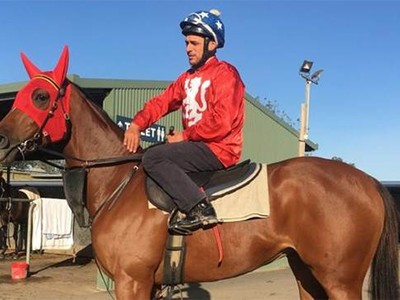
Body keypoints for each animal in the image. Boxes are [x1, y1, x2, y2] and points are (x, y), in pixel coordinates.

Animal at [0, 45, 396, 298]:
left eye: (40, 97)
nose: (1, 139)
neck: (119, 182)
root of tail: (369, 182)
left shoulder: (132, 281)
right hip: (307, 273)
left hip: (340, 280)